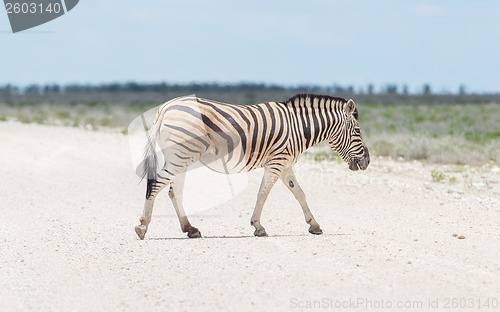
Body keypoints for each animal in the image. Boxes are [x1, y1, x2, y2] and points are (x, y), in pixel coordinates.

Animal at [135, 92, 370, 239]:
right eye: (358, 132)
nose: (367, 162)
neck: (298, 127)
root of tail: (165, 108)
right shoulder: (276, 162)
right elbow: (263, 194)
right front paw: (258, 226)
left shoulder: (285, 165)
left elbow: (299, 193)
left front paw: (314, 225)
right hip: (181, 155)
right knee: (156, 183)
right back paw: (142, 226)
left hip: (180, 157)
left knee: (174, 191)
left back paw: (190, 229)